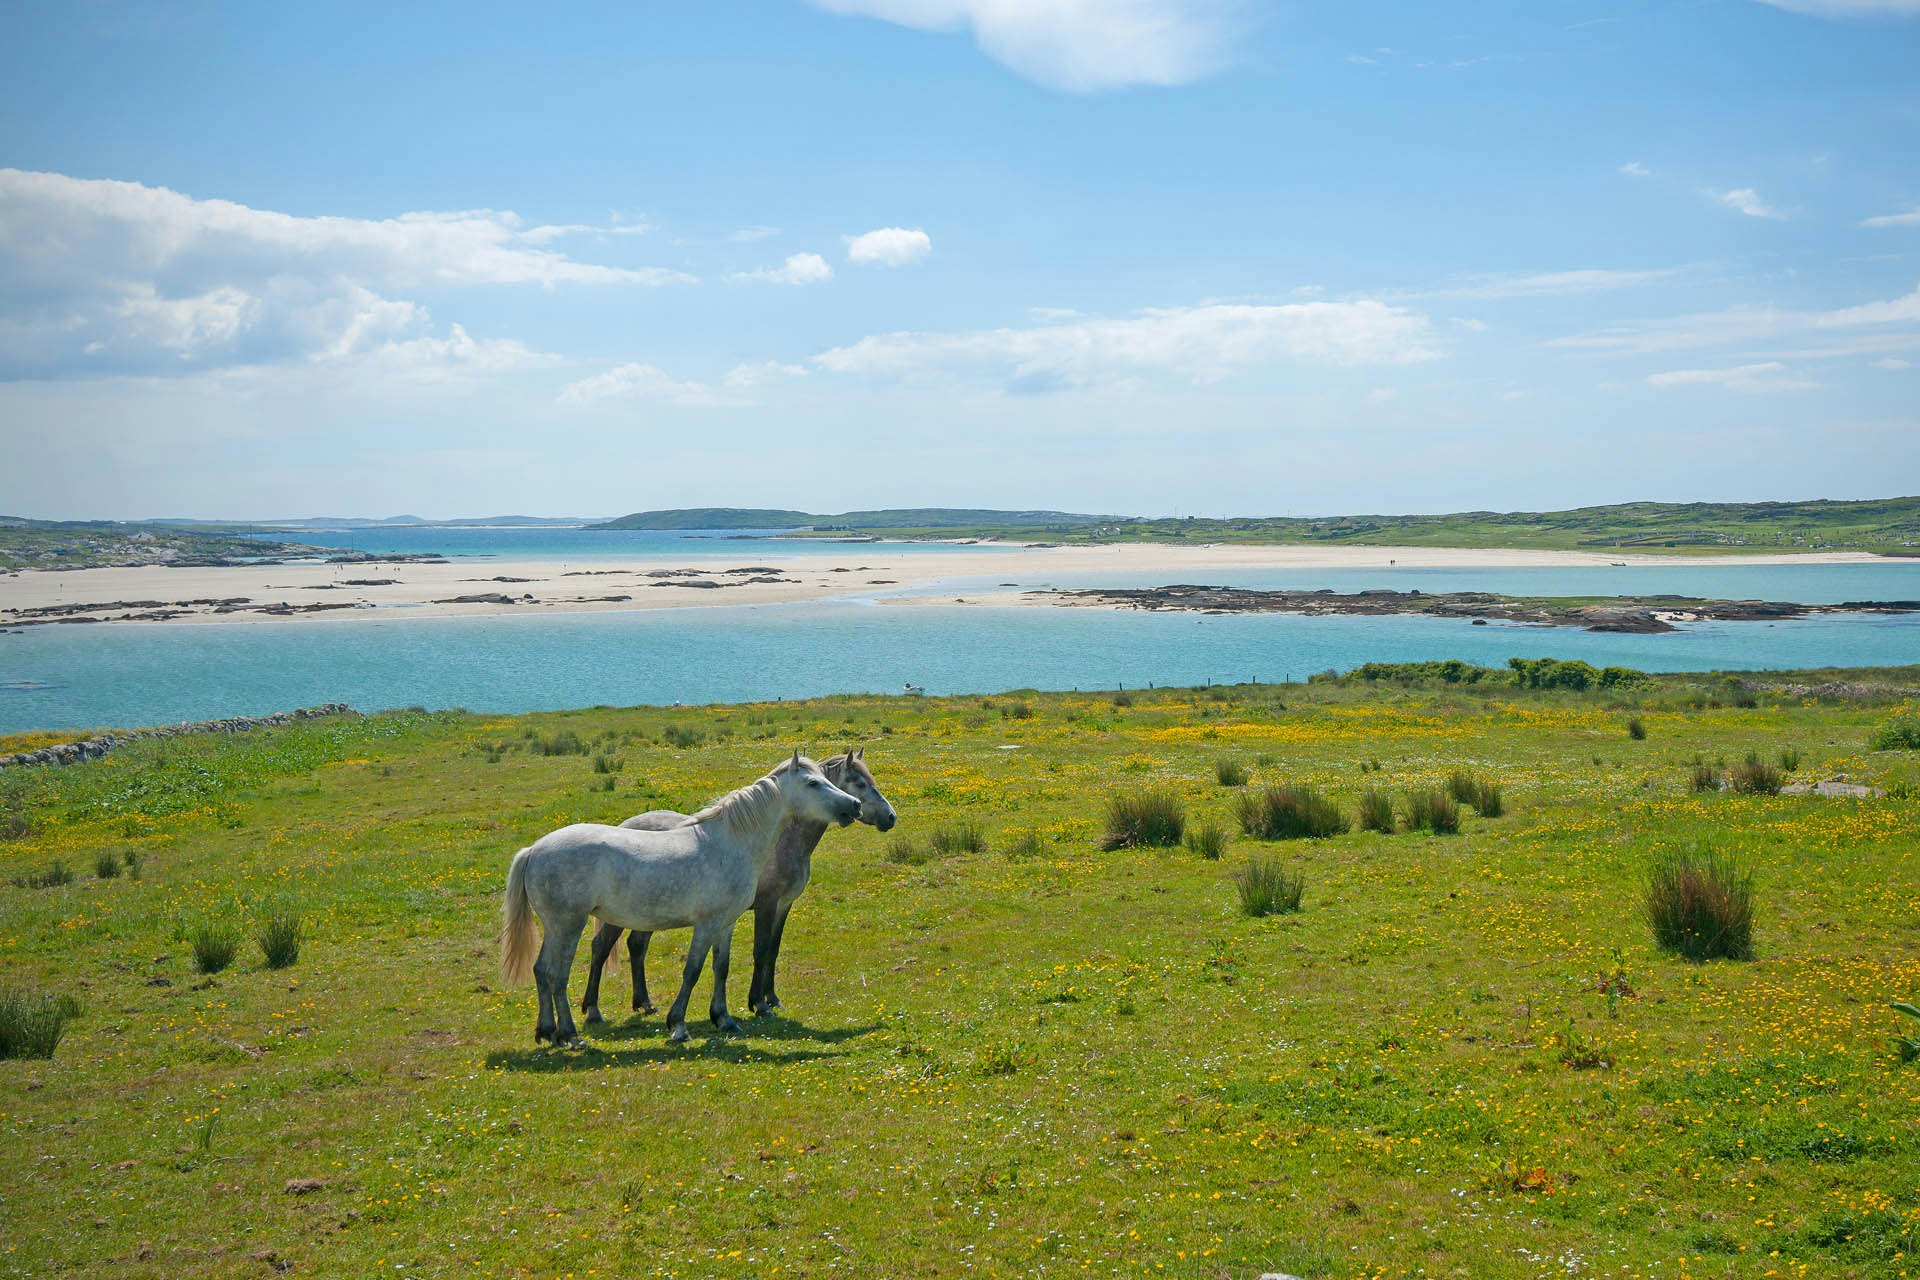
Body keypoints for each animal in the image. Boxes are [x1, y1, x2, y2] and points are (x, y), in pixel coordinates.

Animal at [499, 752, 860, 1045]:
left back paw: (548, 1031)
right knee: (557, 975)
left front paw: (724, 1019)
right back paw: (571, 1035)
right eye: (813, 783)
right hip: (568, 926)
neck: (731, 842)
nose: (854, 806)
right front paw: (678, 1026)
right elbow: (693, 970)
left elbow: (720, 967)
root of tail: (534, 850)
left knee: (541, 970)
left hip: (555, 928)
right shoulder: (707, 925)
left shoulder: (725, 924)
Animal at [579, 748, 897, 1025]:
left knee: (637, 946)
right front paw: (758, 1003)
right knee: (601, 947)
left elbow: (773, 950)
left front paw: (772, 998)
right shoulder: (766, 905)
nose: (890, 817)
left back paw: (644, 1002)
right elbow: (760, 950)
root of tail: (625, 824)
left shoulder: (784, 905)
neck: (780, 843)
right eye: (859, 783)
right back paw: (593, 1010)